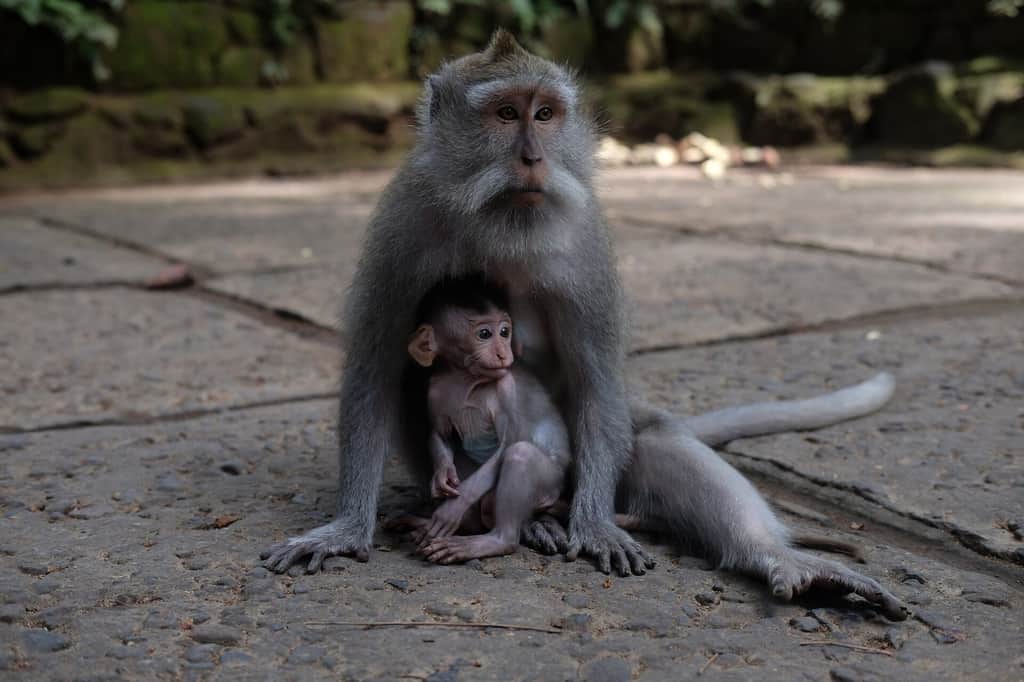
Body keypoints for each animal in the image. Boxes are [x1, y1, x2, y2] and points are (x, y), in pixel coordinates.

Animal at [261, 31, 907, 620]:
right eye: (505, 114)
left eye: (545, 115)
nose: (532, 157)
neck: (500, 222)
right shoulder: (402, 229)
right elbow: (374, 371)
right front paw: (347, 527)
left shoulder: (585, 248)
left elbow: (597, 378)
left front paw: (593, 527)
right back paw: (526, 527)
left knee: (655, 441)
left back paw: (774, 557)